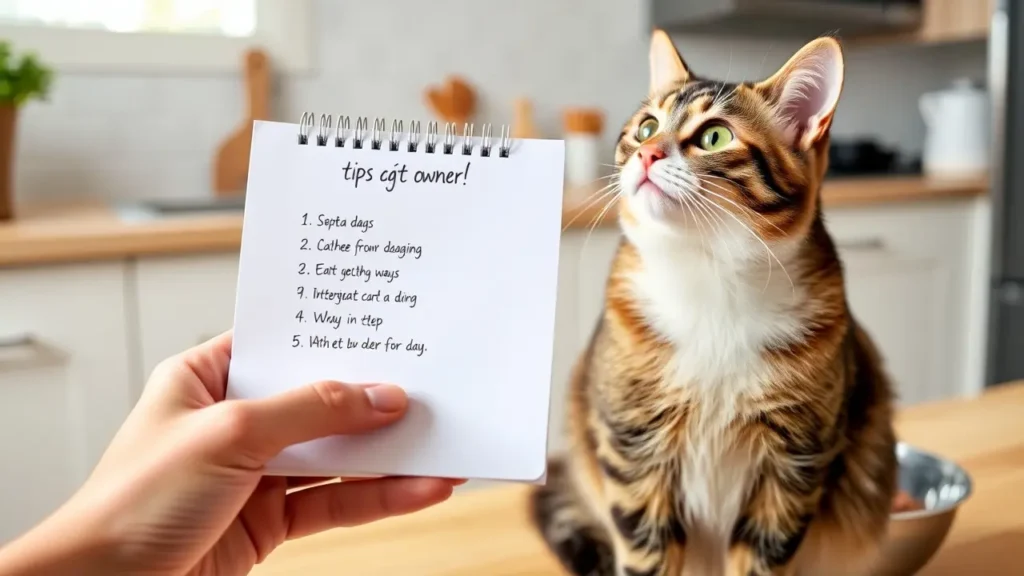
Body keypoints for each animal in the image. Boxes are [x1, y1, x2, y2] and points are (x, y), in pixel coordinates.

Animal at [532, 30, 901, 573]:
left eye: (714, 137)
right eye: (646, 127)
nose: (647, 154)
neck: (710, 278)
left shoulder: (795, 464)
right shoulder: (633, 449)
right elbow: (646, 552)